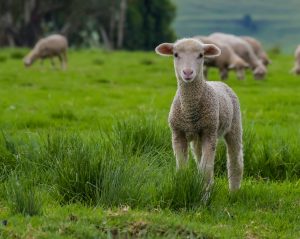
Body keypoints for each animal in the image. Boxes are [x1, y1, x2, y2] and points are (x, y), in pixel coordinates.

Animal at [155, 38, 244, 191]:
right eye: (175, 54)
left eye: (201, 55)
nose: (187, 72)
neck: (190, 111)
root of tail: (219, 82)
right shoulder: (177, 134)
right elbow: (182, 168)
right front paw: (186, 187)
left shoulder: (210, 132)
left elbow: (206, 169)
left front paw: (205, 192)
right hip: (197, 139)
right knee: (198, 157)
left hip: (234, 125)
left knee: (235, 160)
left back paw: (234, 191)